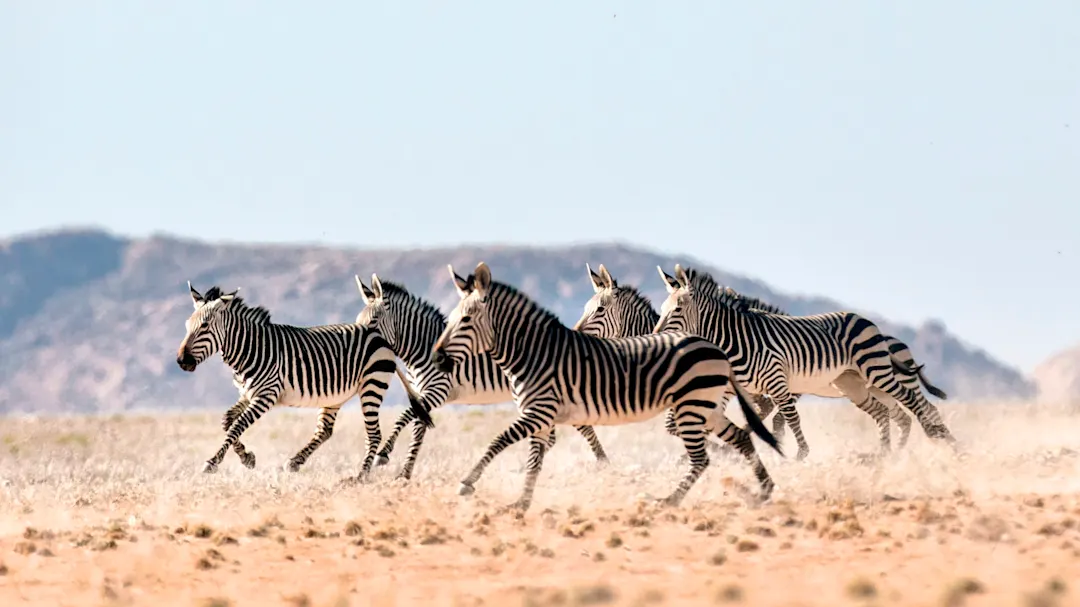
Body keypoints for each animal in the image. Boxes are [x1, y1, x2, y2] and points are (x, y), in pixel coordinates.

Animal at [176, 282, 418, 478]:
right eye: (187, 326)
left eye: (204, 326)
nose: (181, 361)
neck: (250, 349)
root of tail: (380, 336)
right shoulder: (247, 394)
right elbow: (227, 421)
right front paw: (247, 457)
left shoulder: (266, 395)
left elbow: (237, 426)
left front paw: (213, 462)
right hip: (334, 396)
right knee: (325, 430)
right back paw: (295, 462)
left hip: (372, 385)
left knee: (374, 435)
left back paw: (360, 477)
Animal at [353, 273, 610, 480]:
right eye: (357, 322)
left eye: (373, 321)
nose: (360, 347)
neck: (421, 348)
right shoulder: (421, 394)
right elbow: (418, 429)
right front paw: (405, 473)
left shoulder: (438, 390)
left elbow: (404, 416)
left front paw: (385, 454)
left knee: (581, 427)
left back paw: (602, 462)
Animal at [408, 262, 783, 513]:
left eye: (466, 320)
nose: (437, 358)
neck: (532, 352)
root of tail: (714, 347)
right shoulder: (541, 418)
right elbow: (534, 461)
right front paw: (521, 502)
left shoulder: (538, 412)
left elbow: (498, 440)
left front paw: (468, 483)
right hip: (706, 407)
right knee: (742, 437)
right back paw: (763, 491)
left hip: (693, 407)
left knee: (703, 458)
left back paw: (669, 500)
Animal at [575, 264, 947, 455]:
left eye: (599, 310)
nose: (575, 334)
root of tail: (888, 336)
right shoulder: (742, 391)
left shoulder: (764, 388)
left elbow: (779, 420)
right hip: (858, 386)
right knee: (897, 415)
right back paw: (892, 453)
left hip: (881, 376)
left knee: (919, 407)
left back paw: (939, 442)